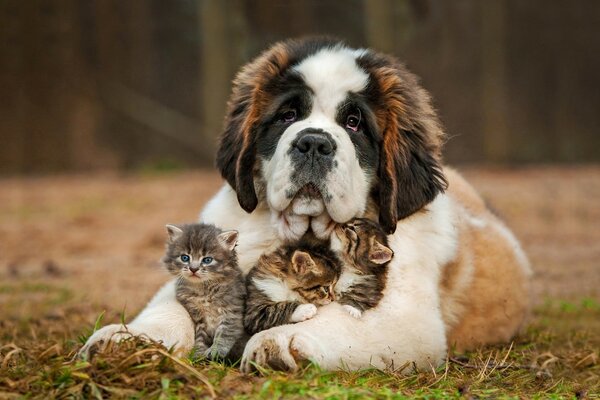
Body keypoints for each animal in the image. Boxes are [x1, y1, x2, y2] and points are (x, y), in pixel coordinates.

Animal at [81, 39, 536, 374]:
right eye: (287, 115)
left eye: (354, 123)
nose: (314, 142)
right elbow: (170, 306)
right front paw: (126, 340)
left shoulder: (407, 316)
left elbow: (333, 315)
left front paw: (278, 342)